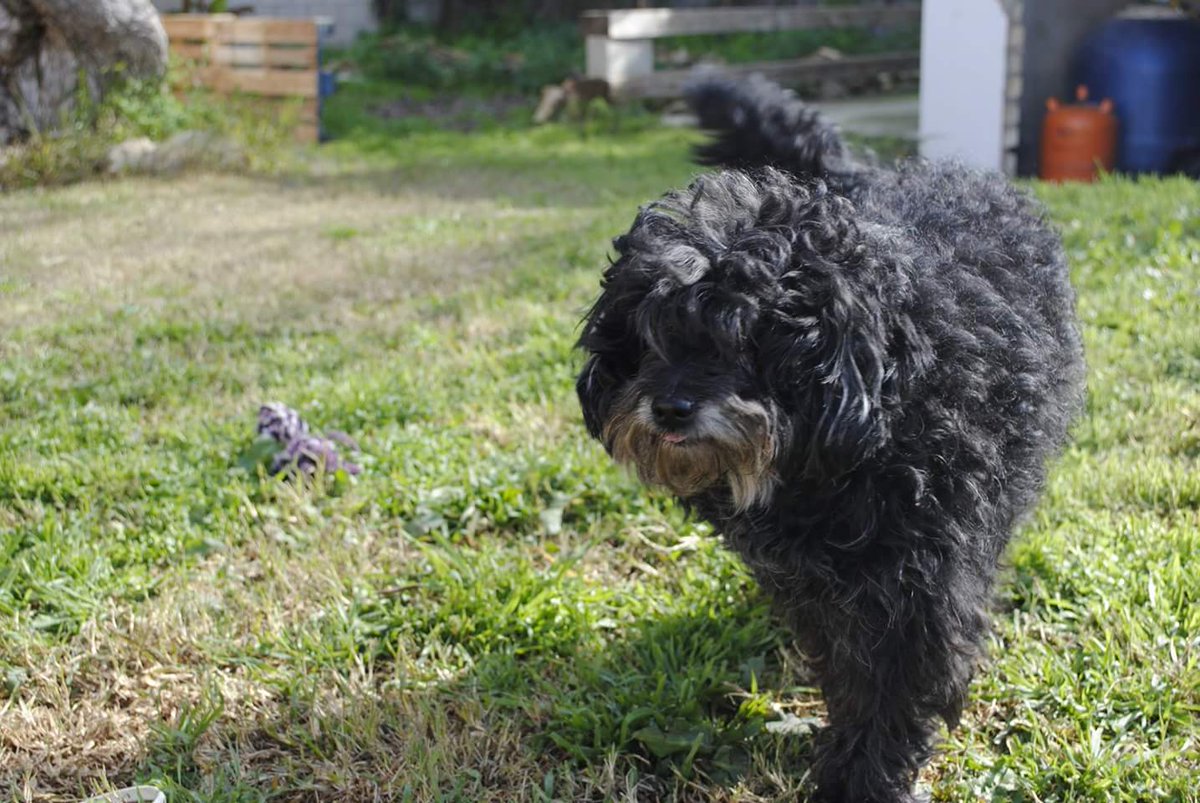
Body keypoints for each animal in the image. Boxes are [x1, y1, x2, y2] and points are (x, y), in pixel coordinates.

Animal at [576, 75, 1085, 802]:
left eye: (748, 337)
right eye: (651, 334)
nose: (670, 408)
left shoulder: (921, 593)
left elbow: (888, 694)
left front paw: (860, 781)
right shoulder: (818, 584)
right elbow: (845, 670)